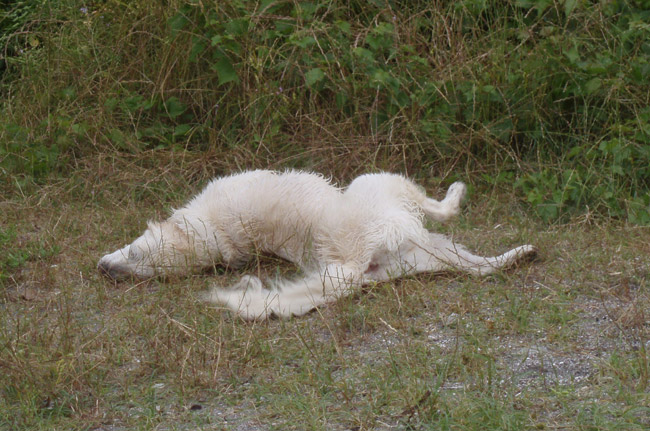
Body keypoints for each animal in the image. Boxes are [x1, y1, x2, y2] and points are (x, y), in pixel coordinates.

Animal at [95, 171, 532, 320]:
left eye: (135, 255)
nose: (104, 271)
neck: (214, 233)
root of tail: (356, 264)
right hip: (381, 185)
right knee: (440, 210)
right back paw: (458, 195)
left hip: (429, 250)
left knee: (482, 267)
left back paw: (519, 255)